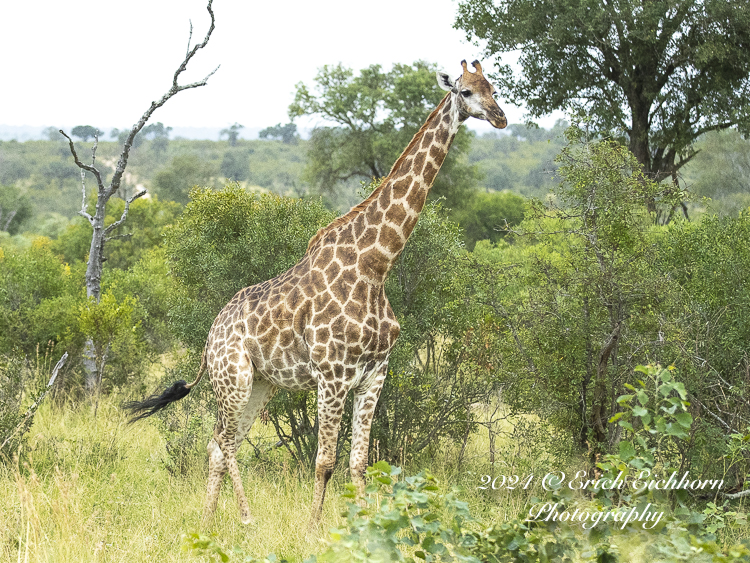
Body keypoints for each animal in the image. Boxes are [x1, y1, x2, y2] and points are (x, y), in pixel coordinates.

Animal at [126, 59, 508, 528]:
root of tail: (210, 337)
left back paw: (208, 522)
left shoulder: (374, 375)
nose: (500, 117)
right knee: (224, 442)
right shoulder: (333, 374)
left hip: (261, 385)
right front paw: (312, 528)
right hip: (233, 378)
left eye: (493, 88)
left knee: (219, 445)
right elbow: (324, 461)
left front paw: (366, 525)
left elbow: (360, 462)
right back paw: (247, 520)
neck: (377, 265)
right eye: (466, 92)